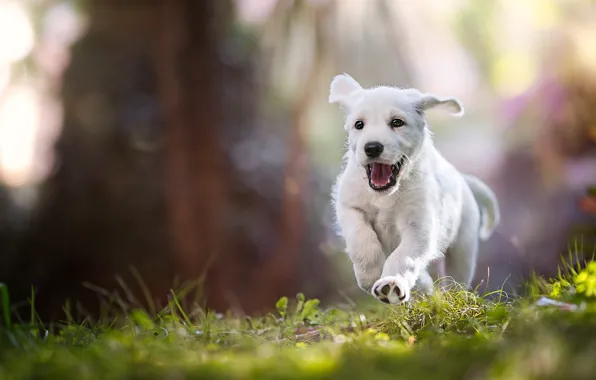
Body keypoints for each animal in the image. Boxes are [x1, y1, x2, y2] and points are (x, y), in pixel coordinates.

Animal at [328, 74, 500, 304]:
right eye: (359, 124)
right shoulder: (349, 206)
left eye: (397, 122)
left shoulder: (419, 226)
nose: (372, 147)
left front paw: (391, 283)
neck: (386, 194)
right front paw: (370, 275)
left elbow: (404, 258)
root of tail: (462, 180)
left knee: (455, 280)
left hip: (463, 248)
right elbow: (361, 239)